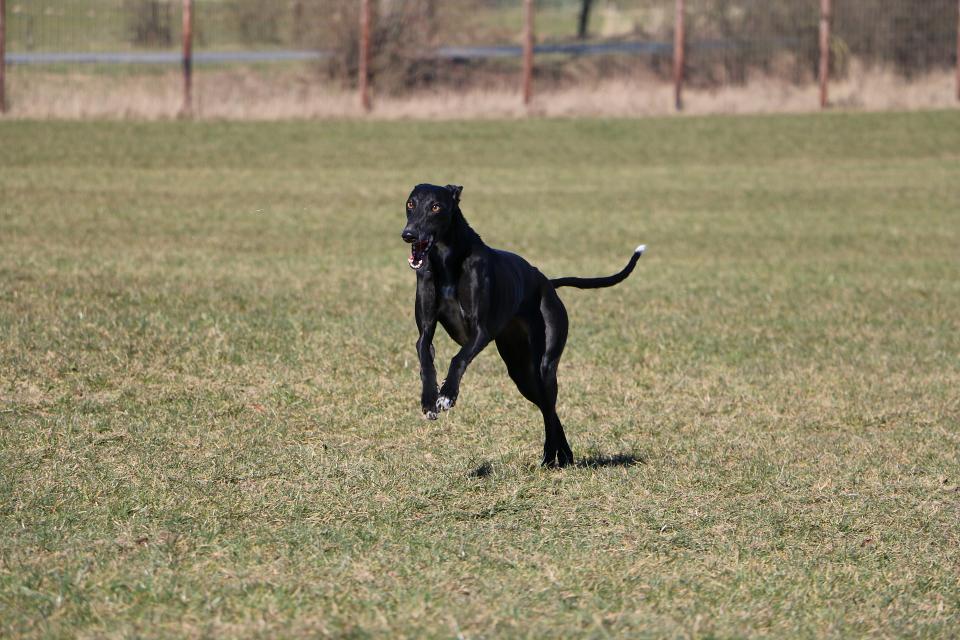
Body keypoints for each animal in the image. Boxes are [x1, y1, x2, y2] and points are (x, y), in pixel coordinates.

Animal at [402, 182, 640, 468]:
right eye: (411, 203)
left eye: (436, 206)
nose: (409, 234)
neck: (448, 259)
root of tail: (547, 281)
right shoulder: (425, 331)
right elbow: (425, 358)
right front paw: (429, 400)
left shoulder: (481, 332)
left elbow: (458, 358)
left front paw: (447, 394)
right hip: (520, 370)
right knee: (548, 408)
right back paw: (563, 456)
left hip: (544, 364)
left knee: (549, 408)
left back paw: (552, 456)